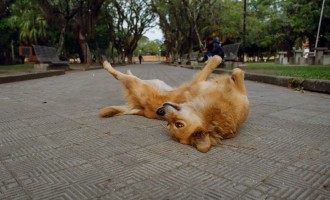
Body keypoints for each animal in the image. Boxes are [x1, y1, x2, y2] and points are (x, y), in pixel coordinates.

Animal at [99, 56, 249, 153]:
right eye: (171, 124)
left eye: (177, 125)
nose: (159, 111)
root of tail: (141, 108)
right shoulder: (199, 83)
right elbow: (226, 69)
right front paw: (217, 59)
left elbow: (236, 73)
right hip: (139, 83)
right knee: (119, 74)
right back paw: (109, 64)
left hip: (138, 84)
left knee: (122, 76)